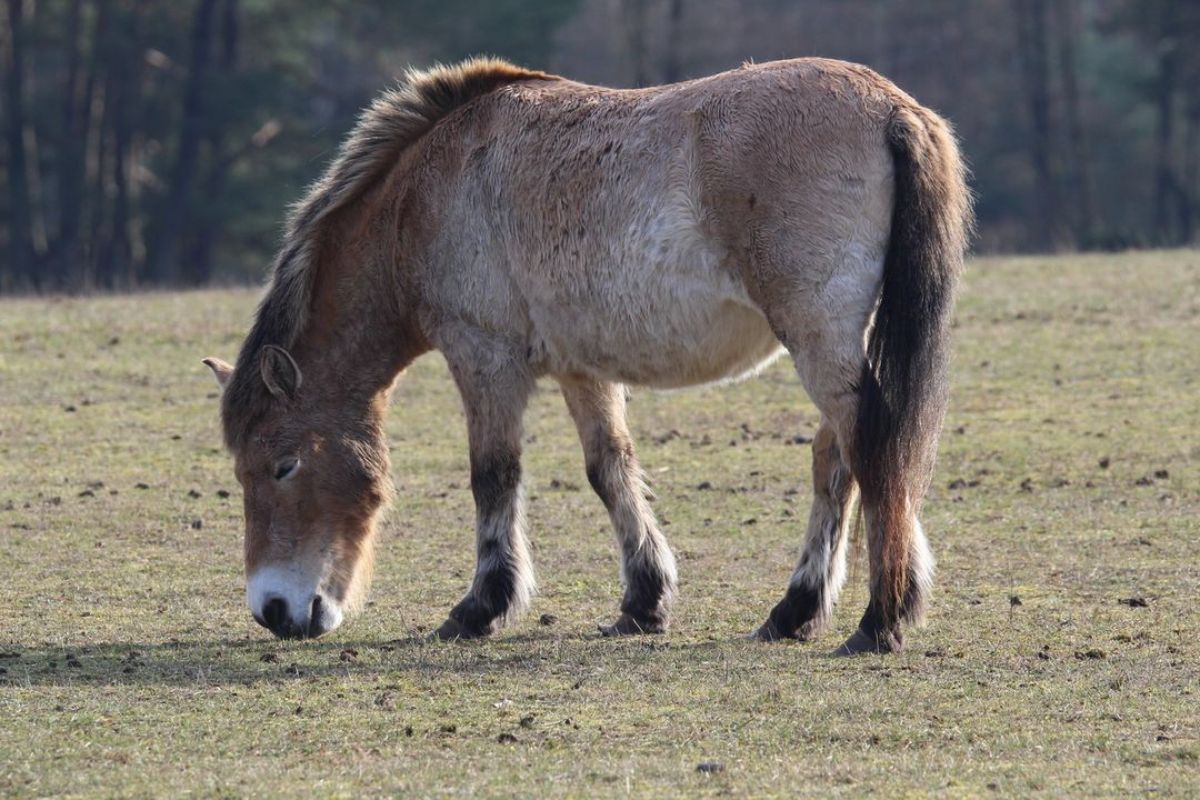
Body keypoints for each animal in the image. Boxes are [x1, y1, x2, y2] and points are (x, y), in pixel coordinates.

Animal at [204, 57, 974, 657]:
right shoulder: (581, 367)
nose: (273, 612)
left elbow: (494, 476)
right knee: (838, 458)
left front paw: (480, 607)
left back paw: (878, 619)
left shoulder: (484, 357)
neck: (430, 192)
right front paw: (643, 601)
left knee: (870, 449)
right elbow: (610, 470)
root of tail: (893, 109)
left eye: (282, 465)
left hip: (819, 338)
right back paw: (798, 612)